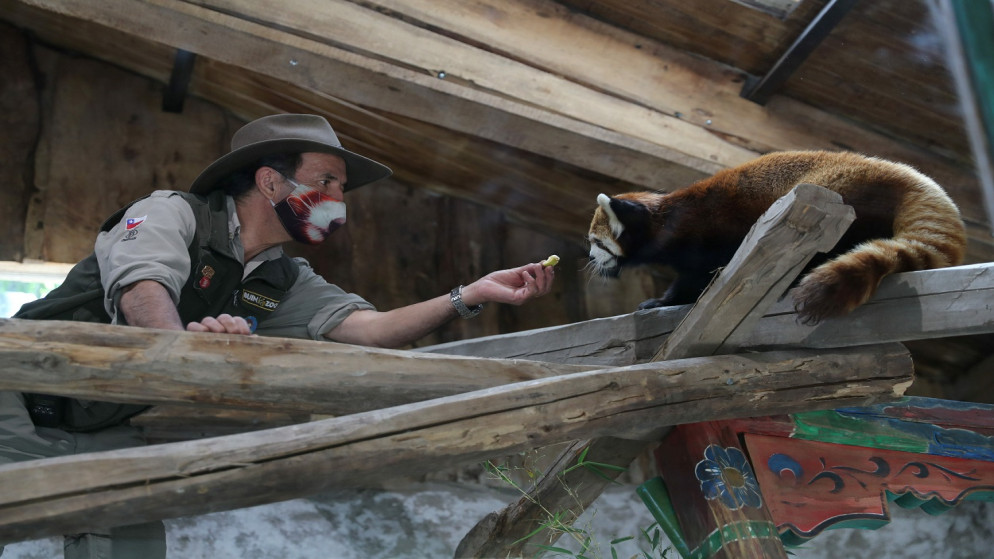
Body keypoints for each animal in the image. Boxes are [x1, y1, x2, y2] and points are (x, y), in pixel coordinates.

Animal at [584, 150, 964, 324]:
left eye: (595, 242)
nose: (589, 258)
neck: (667, 220)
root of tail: (908, 177)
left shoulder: (705, 234)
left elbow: (696, 278)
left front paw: (662, 301)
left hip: (842, 195)